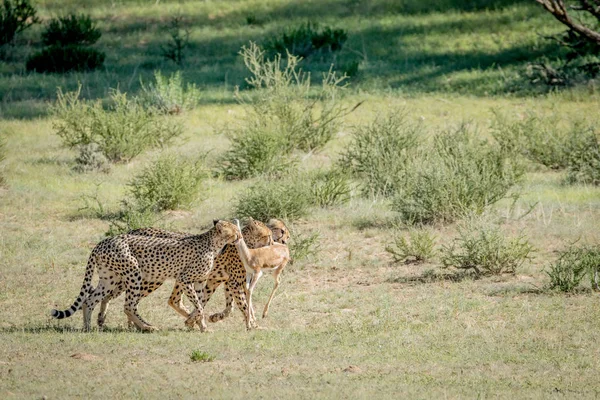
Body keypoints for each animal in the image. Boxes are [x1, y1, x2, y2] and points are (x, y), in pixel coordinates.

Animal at [48, 219, 241, 332]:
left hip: (110, 278)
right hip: (134, 273)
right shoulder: (185, 279)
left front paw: (201, 325)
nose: (239, 237)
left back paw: (88, 327)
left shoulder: (200, 281)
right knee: (128, 305)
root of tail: (103, 242)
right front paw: (194, 321)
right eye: (235, 230)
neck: (214, 243)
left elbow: (199, 304)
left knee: (90, 300)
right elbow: (199, 306)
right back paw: (147, 327)